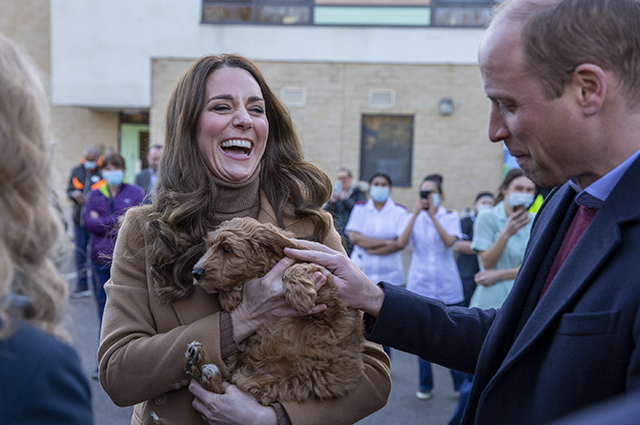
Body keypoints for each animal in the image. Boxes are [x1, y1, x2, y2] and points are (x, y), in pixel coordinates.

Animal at [185, 217, 364, 406]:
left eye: (226, 249)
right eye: (209, 247)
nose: (195, 273)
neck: (264, 268)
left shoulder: (330, 297)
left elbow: (299, 267)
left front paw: (300, 296)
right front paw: (230, 296)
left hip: (272, 382)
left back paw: (202, 367)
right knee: (226, 380)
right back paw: (198, 363)